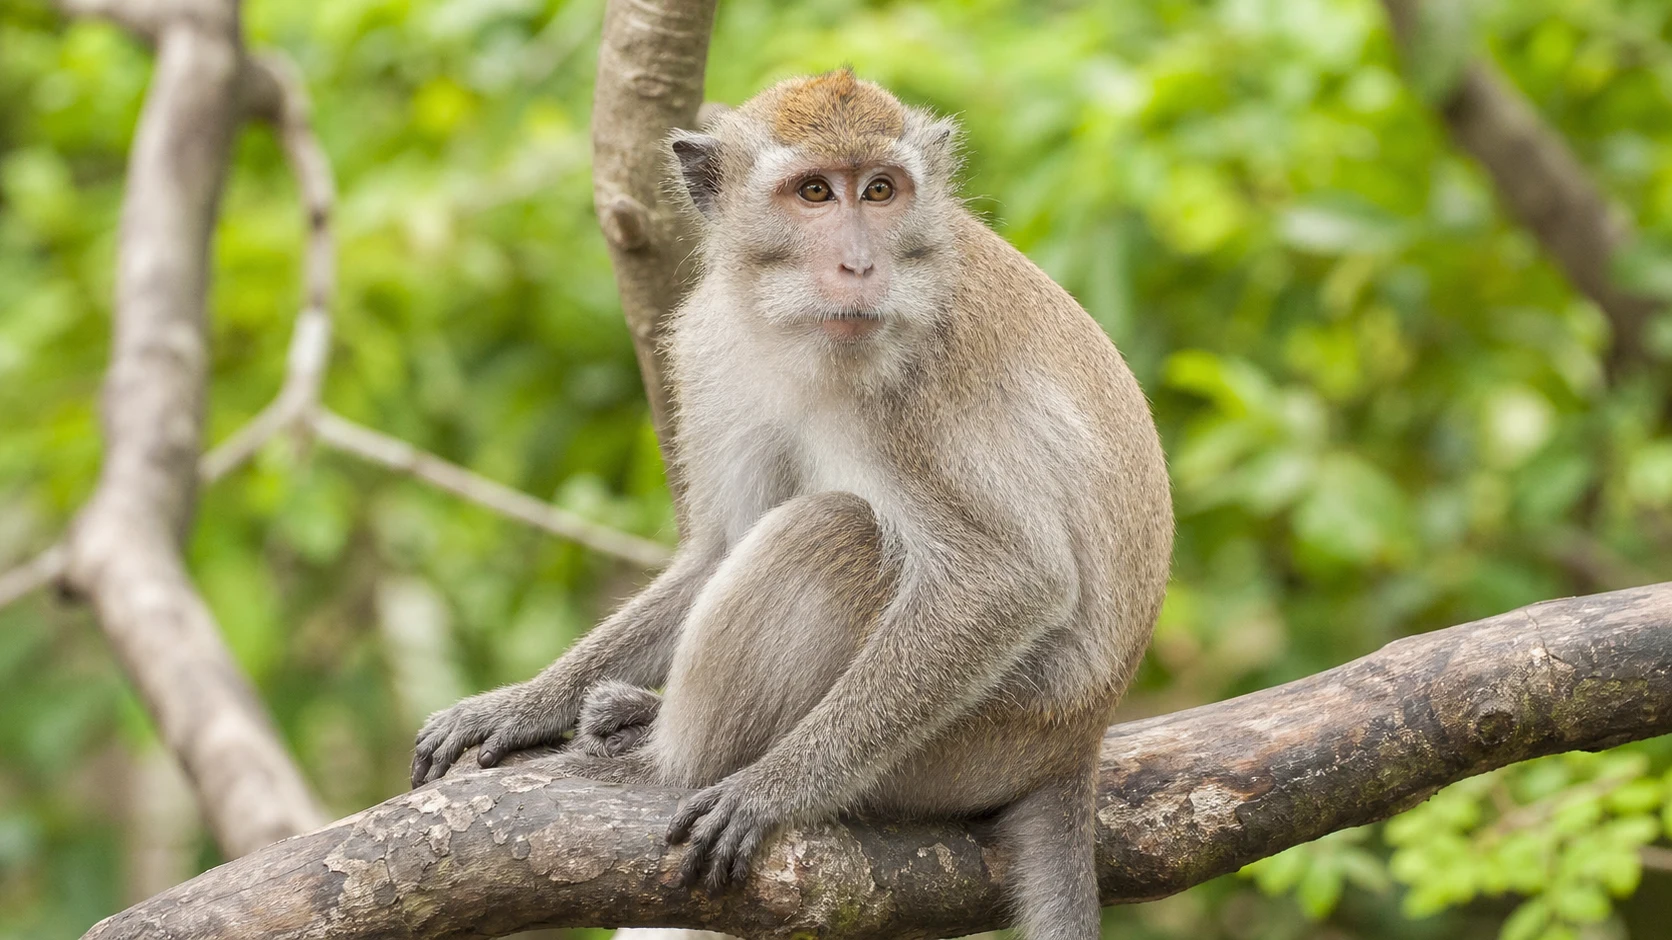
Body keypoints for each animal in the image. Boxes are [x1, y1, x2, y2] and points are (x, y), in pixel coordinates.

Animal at [411, 69, 1172, 940]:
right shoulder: (711, 342)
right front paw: (523, 704)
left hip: (974, 743)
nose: (859, 265)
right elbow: (716, 548)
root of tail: (1080, 743)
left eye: (880, 191)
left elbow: (1010, 577)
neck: (791, 327)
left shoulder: (916, 383)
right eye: (814, 192)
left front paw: (773, 790)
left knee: (831, 532)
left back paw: (657, 764)